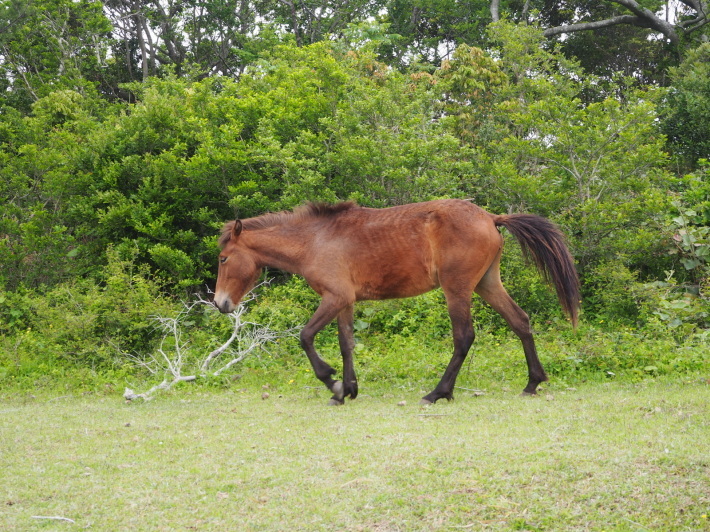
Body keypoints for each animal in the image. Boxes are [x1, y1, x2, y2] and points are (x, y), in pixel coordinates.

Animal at [214, 202, 580, 406]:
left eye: (223, 258)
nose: (220, 303)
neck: (313, 240)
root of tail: (490, 217)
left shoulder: (334, 298)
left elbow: (305, 337)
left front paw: (332, 382)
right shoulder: (345, 302)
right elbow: (347, 344)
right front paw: (347, 390)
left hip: (457, 289)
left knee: (464, 337)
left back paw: (438, 393)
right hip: (487, 284)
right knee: (520, 321)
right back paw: (532, 383)